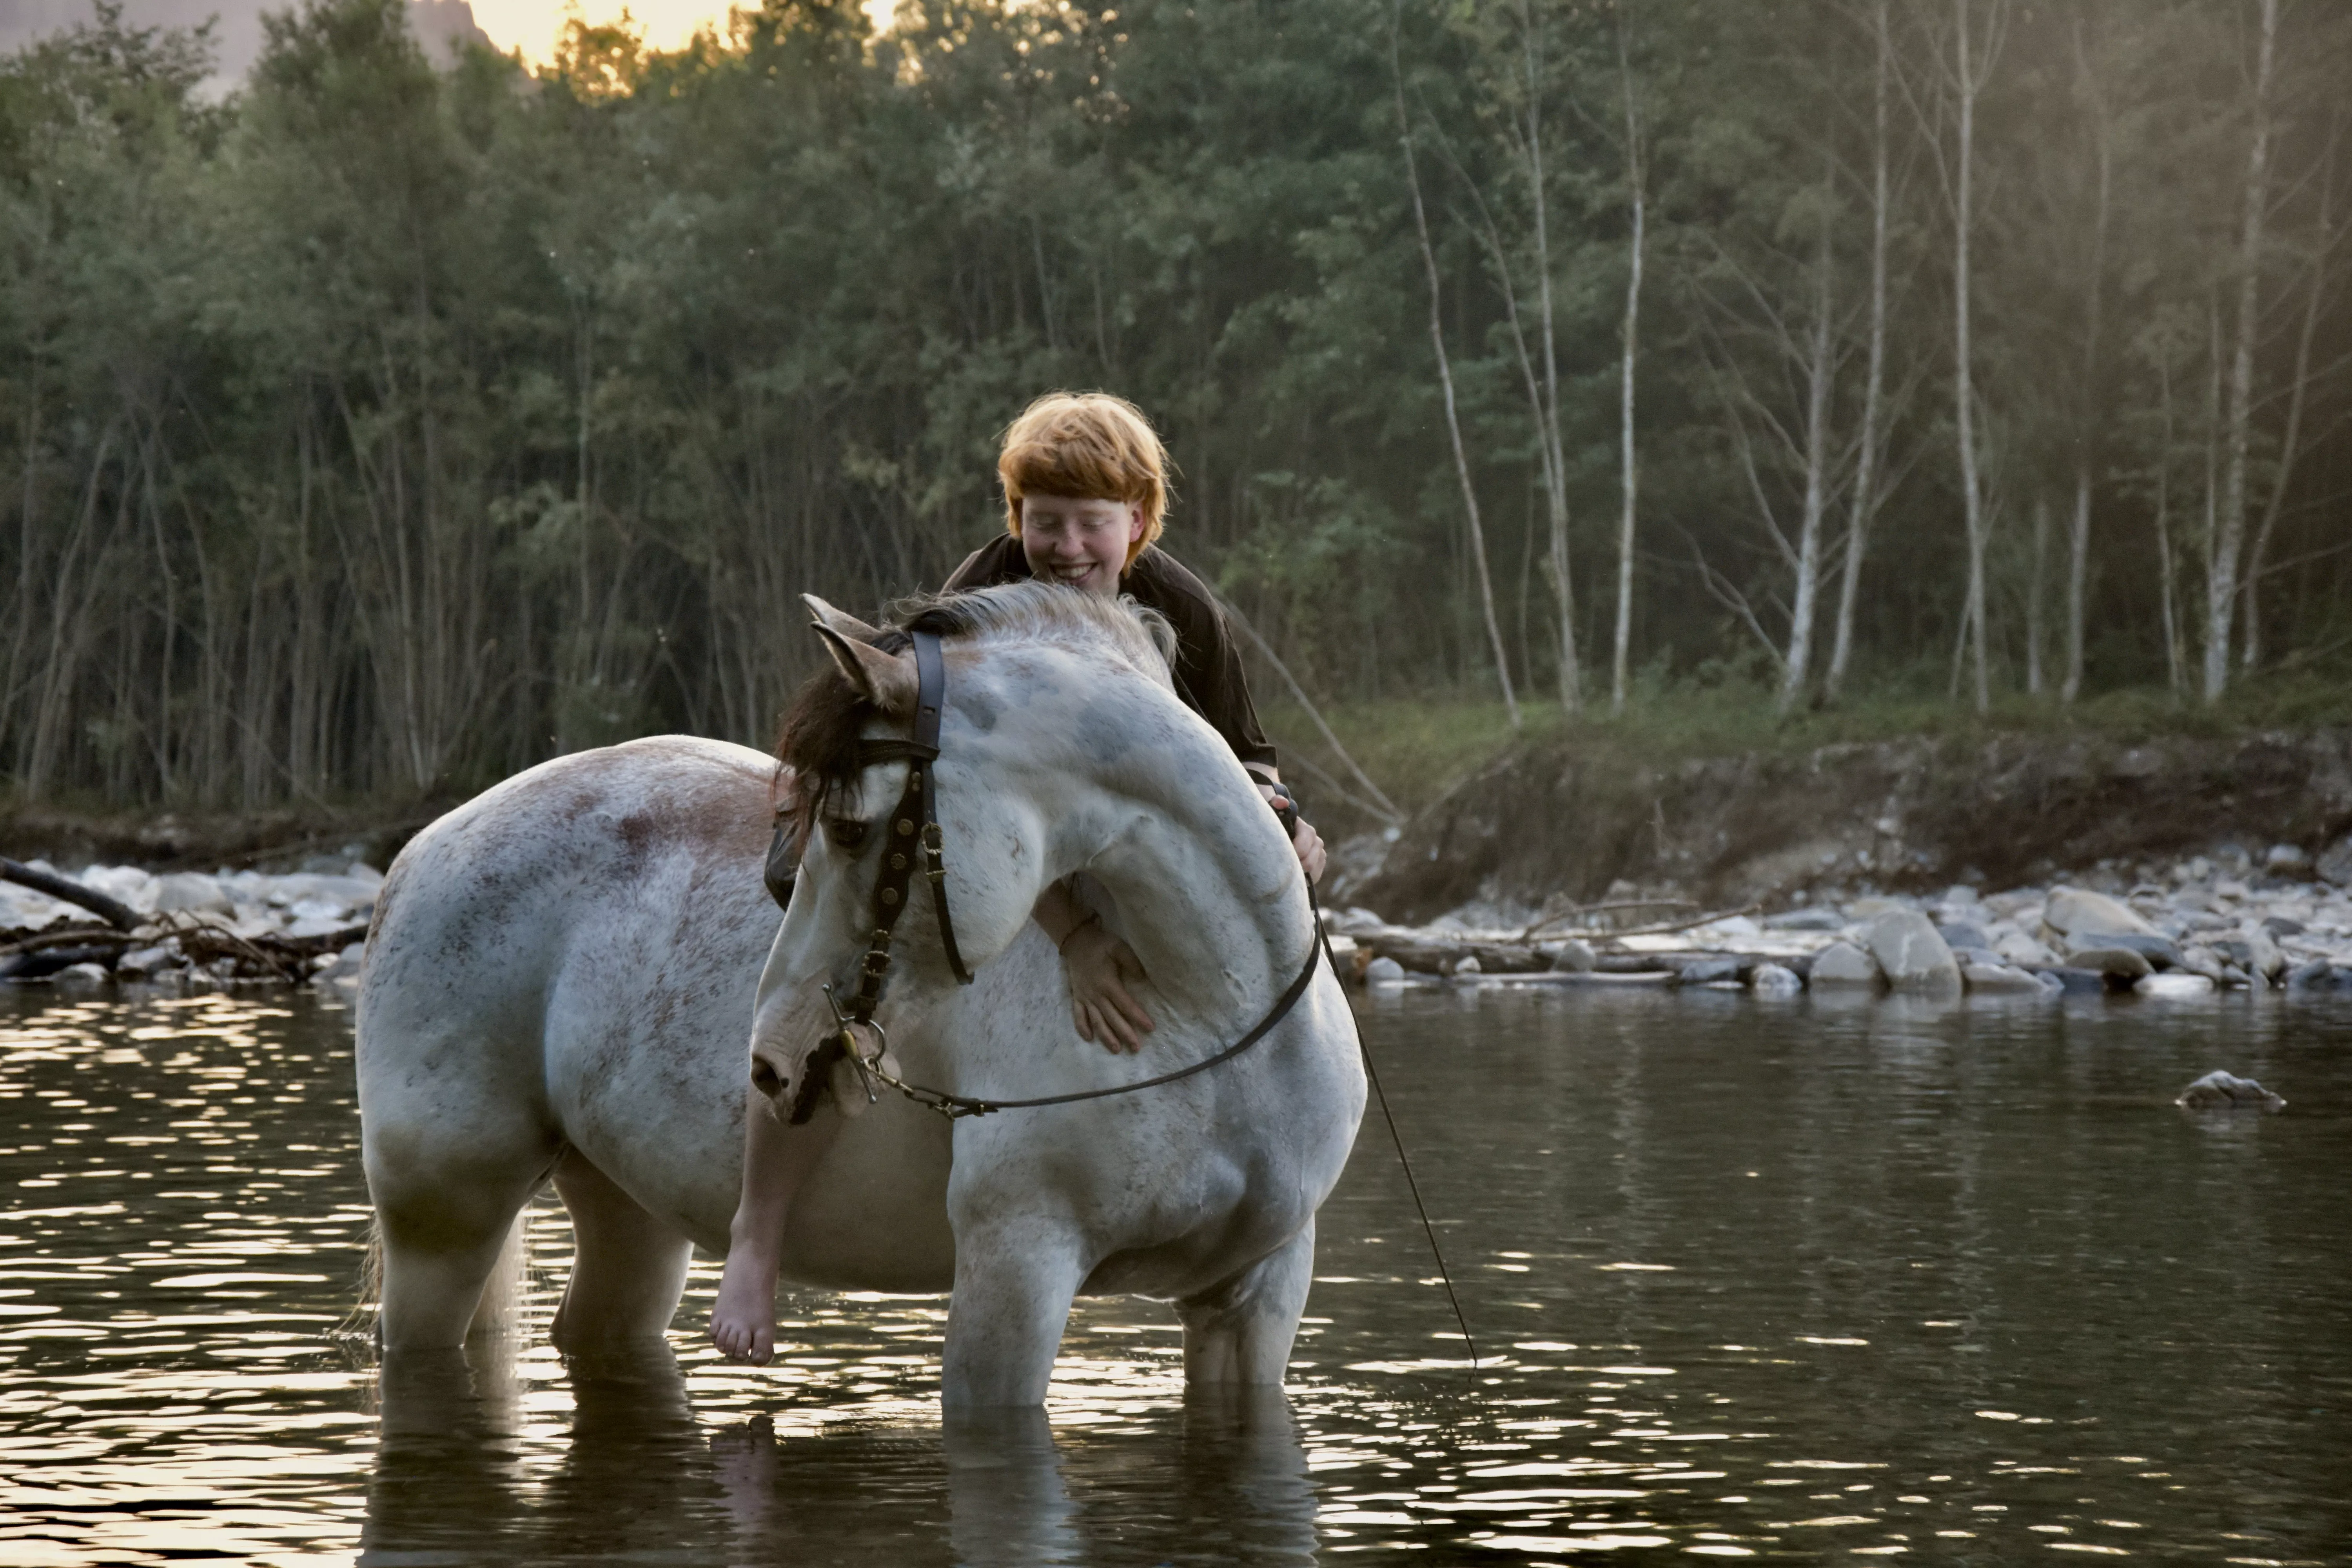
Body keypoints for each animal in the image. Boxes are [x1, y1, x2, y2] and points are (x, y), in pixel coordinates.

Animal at [355, 581, 1374, 1410]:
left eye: (847, 827)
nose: (771, 1054)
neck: (1212, 1020)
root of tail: (422, 850)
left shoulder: (1256, 1295)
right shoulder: (1015, 1277)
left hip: (627, 1215)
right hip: (445, 1221)